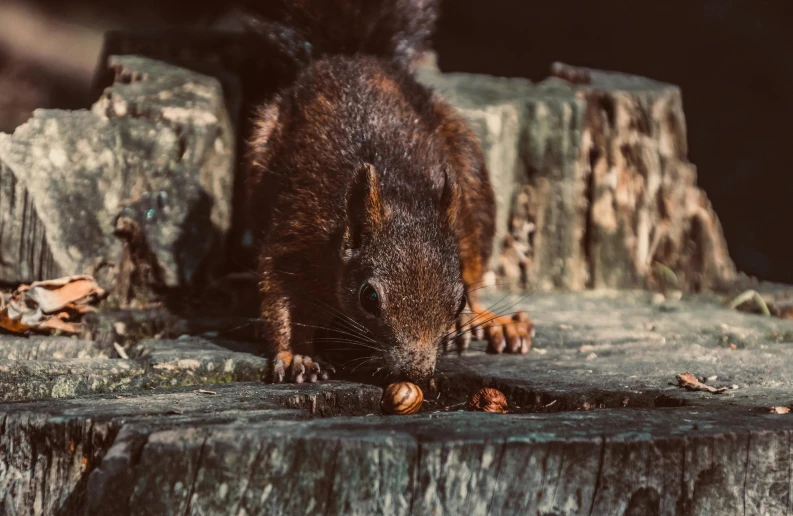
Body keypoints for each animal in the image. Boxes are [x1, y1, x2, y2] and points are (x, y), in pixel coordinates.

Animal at [241, 0, 532, 382]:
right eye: (369, 297)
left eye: (458, 302)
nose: (416, 372)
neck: (399, 194)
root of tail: (352, 56)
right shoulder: (297, 231)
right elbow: (282, 294)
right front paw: (295, 356)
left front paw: (472, 316)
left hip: (469, 166)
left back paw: (492, 322)